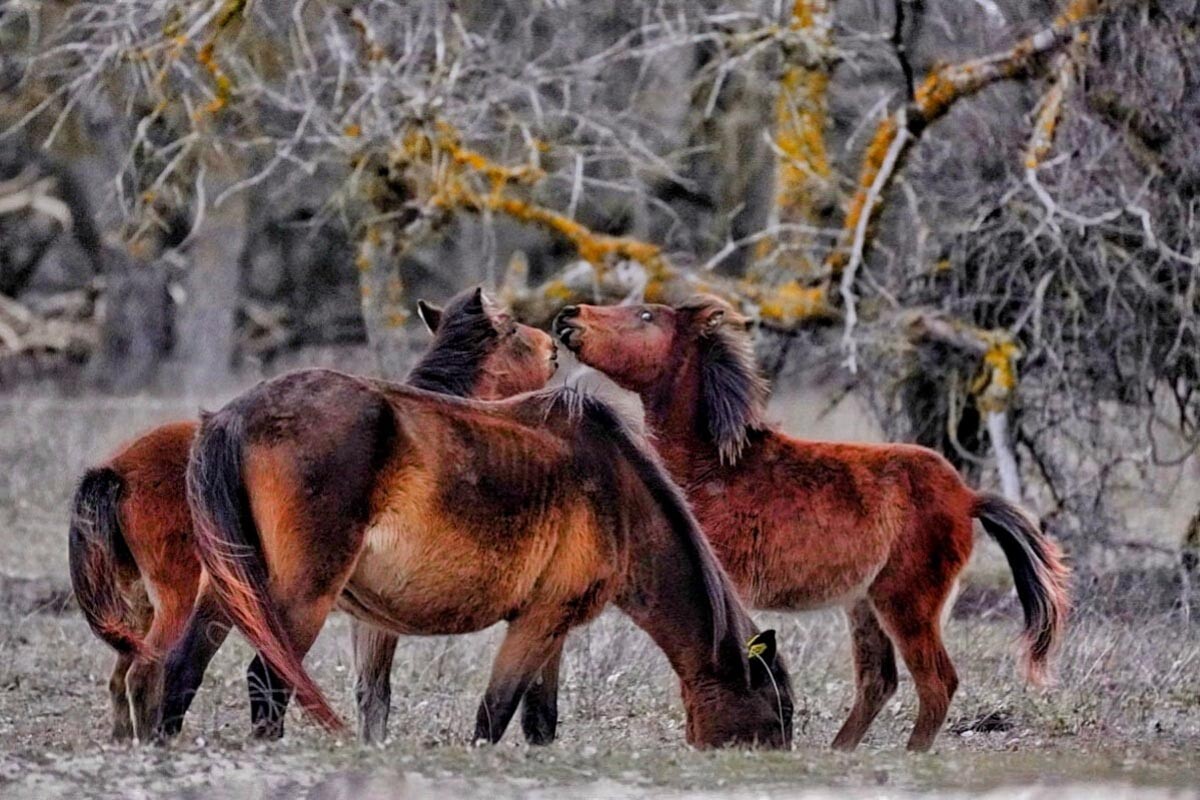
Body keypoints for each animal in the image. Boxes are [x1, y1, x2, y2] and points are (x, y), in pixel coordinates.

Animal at [71, 287, 561, 743]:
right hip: (265, 593)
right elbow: (376, 691)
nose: (553, 346)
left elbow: (370, 693)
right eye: (512, 329)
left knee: (171, 666)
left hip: (208, 594)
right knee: (239, 674)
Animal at [162, 338, 796, 753]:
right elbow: (493, 716)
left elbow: (540, 721)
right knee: (267, 682)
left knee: (184, 665)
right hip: (299, 596)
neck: (616, 489)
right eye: (780, 710)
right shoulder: (539, 622)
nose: (780, 759)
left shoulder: (551, 627)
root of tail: (232, 416)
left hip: (231, 588)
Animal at [552, 293, 1070, 753]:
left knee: (937, 682)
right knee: (879, 682)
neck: (714, 468)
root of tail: (967, 497)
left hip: (907, 602)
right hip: (865, 604)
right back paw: (838, 752)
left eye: (645, 315)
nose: (568, 316)